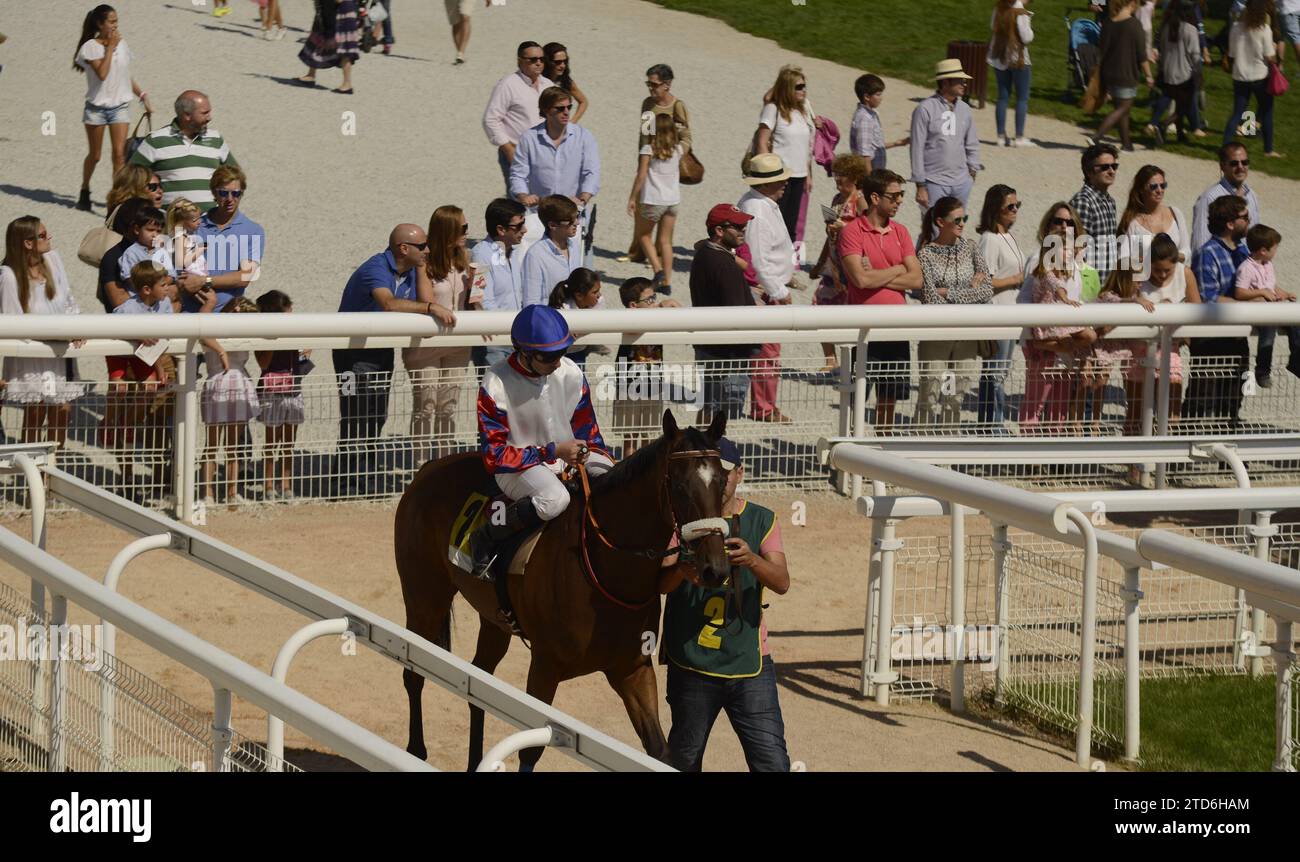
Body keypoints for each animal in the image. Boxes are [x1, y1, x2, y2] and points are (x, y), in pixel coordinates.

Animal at [395, 408, 733, 769]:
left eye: (722, 482)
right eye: (680, 486)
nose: (715, 568)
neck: (607, 569)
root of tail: (429, 467)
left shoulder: (632, 669)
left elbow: (659, 750)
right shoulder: (545, 667)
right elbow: (530, 750)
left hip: (493, 620)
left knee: (478, 686)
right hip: (424, 599)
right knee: (413, 673)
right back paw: (415, 750)